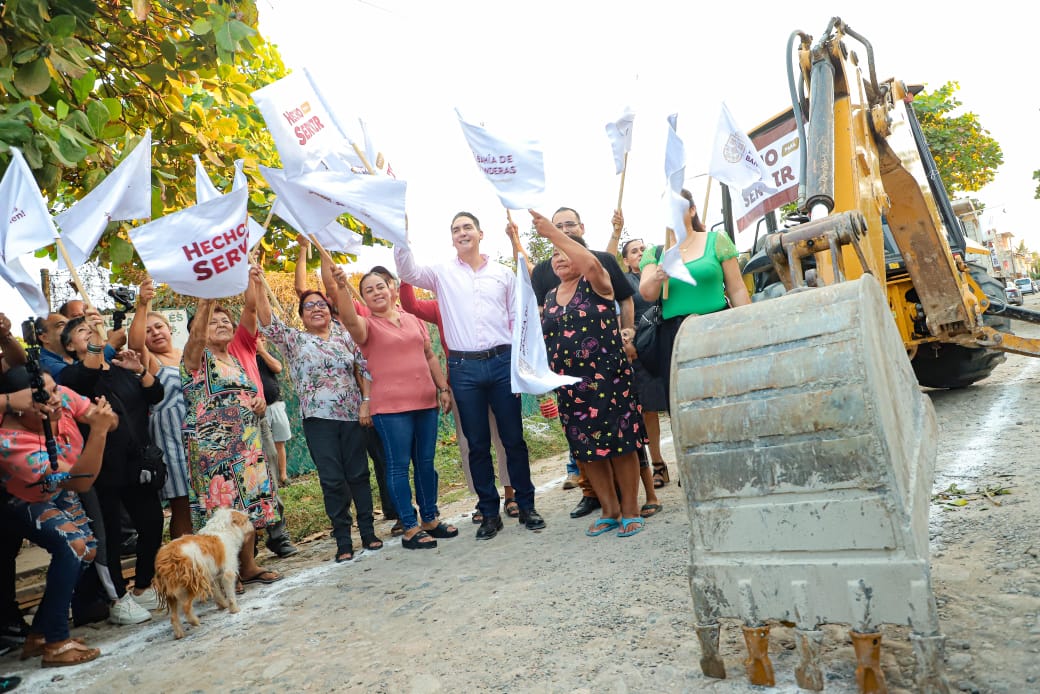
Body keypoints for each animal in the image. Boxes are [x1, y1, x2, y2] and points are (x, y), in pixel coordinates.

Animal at [151, 507, 252, 636]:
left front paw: (223, 605)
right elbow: (230, 594)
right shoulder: (227, 573)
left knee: (173, 617)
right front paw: (234, 609)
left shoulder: (211, 577)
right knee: (186, 606)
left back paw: (179, 634)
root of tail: (169, 556)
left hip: (171, 592)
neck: (223, 529)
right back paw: (194, 621)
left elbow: (217, 593)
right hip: (193, 583)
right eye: (246, 520)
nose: (253, 524)